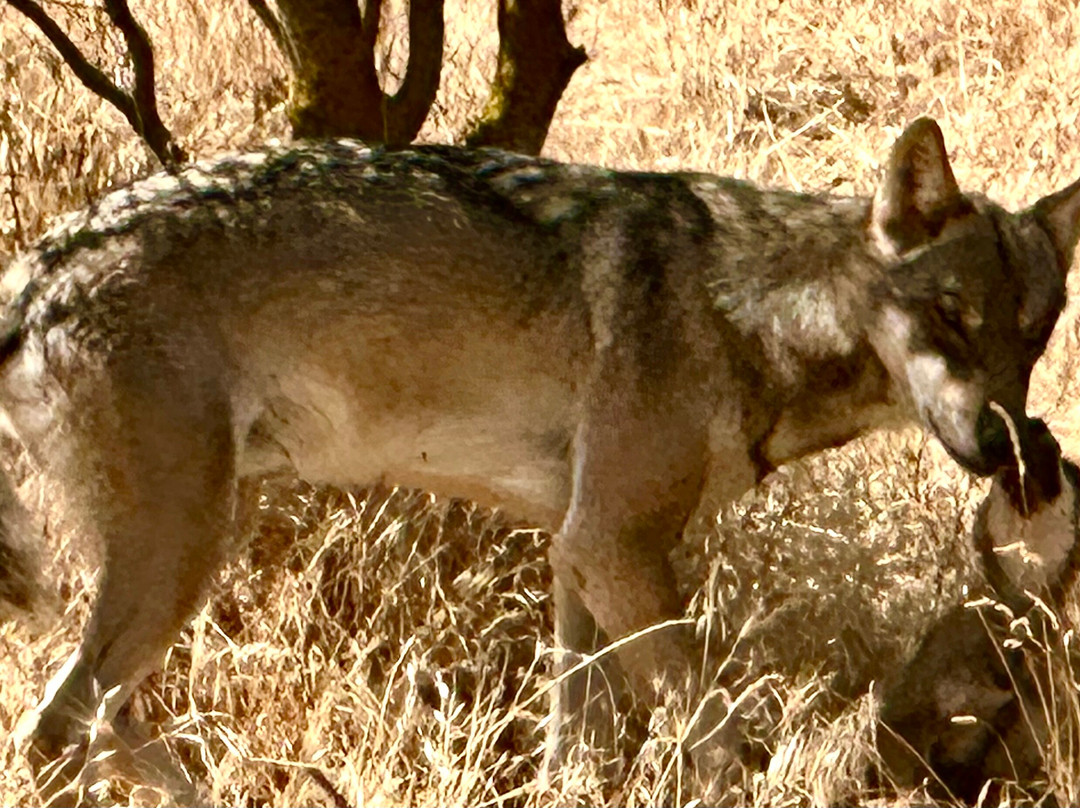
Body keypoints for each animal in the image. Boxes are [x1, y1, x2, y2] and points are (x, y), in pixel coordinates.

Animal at [0, 118, 1078, 791]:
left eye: (1034, 337)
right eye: (951, 315)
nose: (1010, 449)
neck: (748, 311)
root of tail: (37, 268)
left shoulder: (575, 552)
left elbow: (575, 748)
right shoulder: (614, 544)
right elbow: (718, 742)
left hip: (202, 540)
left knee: (99, 724)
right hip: (185, 546)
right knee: (55, 731)